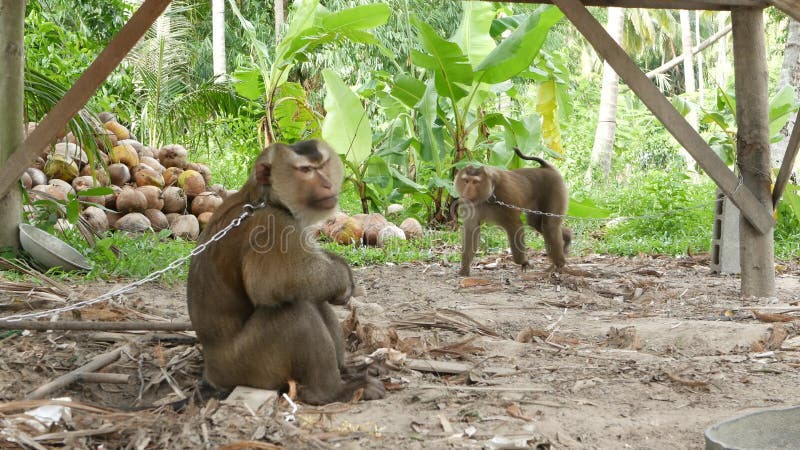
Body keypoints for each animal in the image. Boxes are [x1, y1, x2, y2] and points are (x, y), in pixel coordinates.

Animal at [189, 140, 386, 404]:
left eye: (322, 165)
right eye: (306, 170)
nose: (327, 183)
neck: (265, 198)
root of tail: (211, 373)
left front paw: (341, 268)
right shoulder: (270, 226)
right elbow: (274, 281)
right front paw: (343, 279)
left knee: (312, 299)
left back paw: (346, 370)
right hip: (247, 365)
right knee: (296, 314)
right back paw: (331, 391)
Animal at [454, 148, 572, 276]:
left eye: (475, 182)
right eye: (466, 181)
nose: (467, 191)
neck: (489, 195)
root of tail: (547, 167)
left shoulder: (506, 196)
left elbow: (515, 225)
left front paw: (523, 261)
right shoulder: (468, 204)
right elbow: (471, 230)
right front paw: (464, 270)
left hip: (556, 188)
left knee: (549, 225)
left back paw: (559, 264)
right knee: (538, 225)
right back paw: (568, 238)